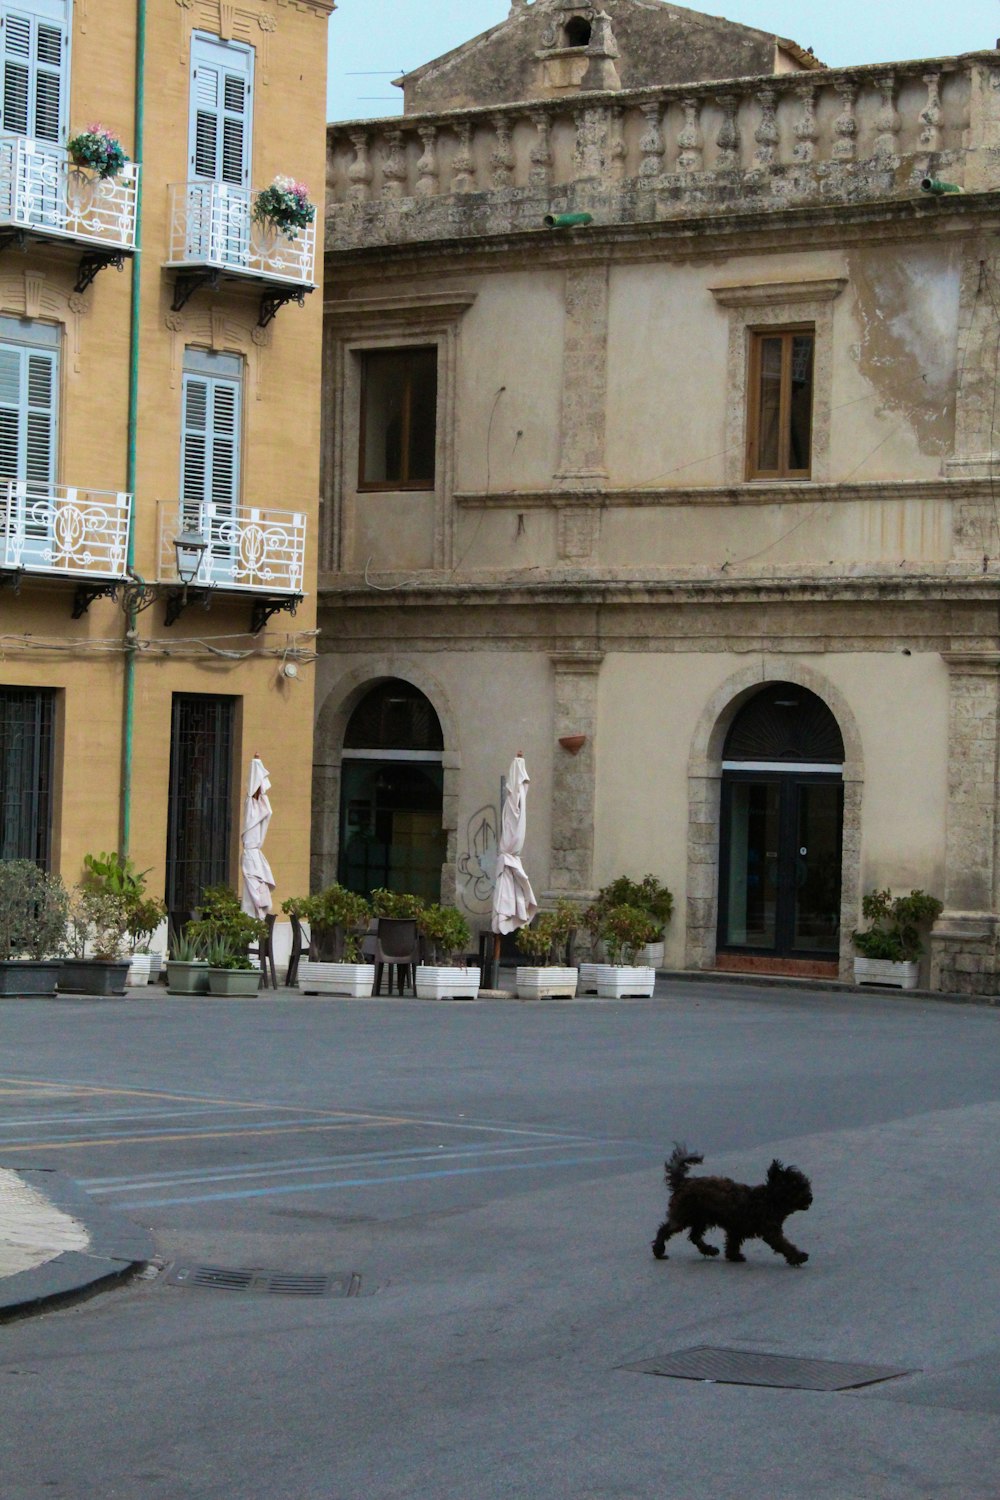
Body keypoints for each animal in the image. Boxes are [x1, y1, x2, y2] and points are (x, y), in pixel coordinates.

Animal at [653, 1146, 809, 1266]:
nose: (810, 1198)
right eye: (798, 1187)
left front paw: (734, 1256)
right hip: (684, 1215)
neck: (769, 1199)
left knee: (694, 1236)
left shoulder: (736, 1229)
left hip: (701, 1218)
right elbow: (784, 1245)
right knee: (665, 1230)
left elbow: (732, 1243)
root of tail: (684, 1182)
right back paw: (659, 1251)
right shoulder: (770, 1231)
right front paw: (798, 1257)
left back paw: (709, 1250)